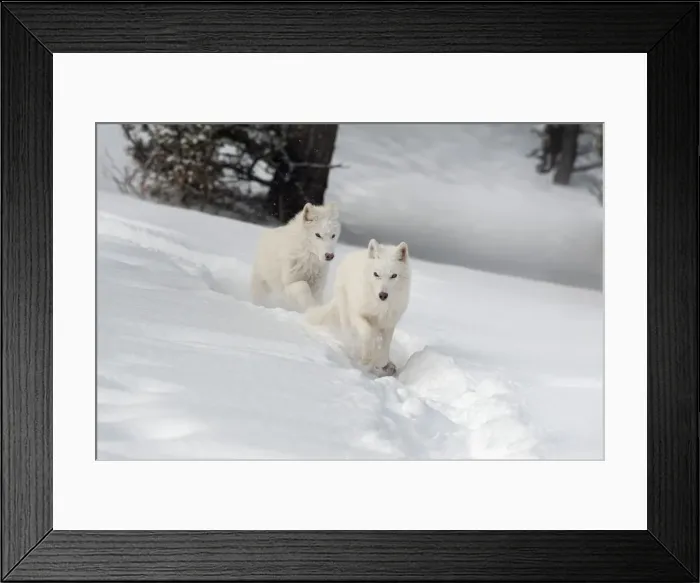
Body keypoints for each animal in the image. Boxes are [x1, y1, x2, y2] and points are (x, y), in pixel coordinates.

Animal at [306, 239, 411, 376]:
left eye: (393, 276)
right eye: (376, 274)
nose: (383, 295)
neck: (379, 306)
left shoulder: (389, 323)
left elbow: (385, 345)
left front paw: (381, 362)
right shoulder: (358, 315)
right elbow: (367, 334)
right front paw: (367, 357)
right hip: (345, 313)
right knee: (350, 333)